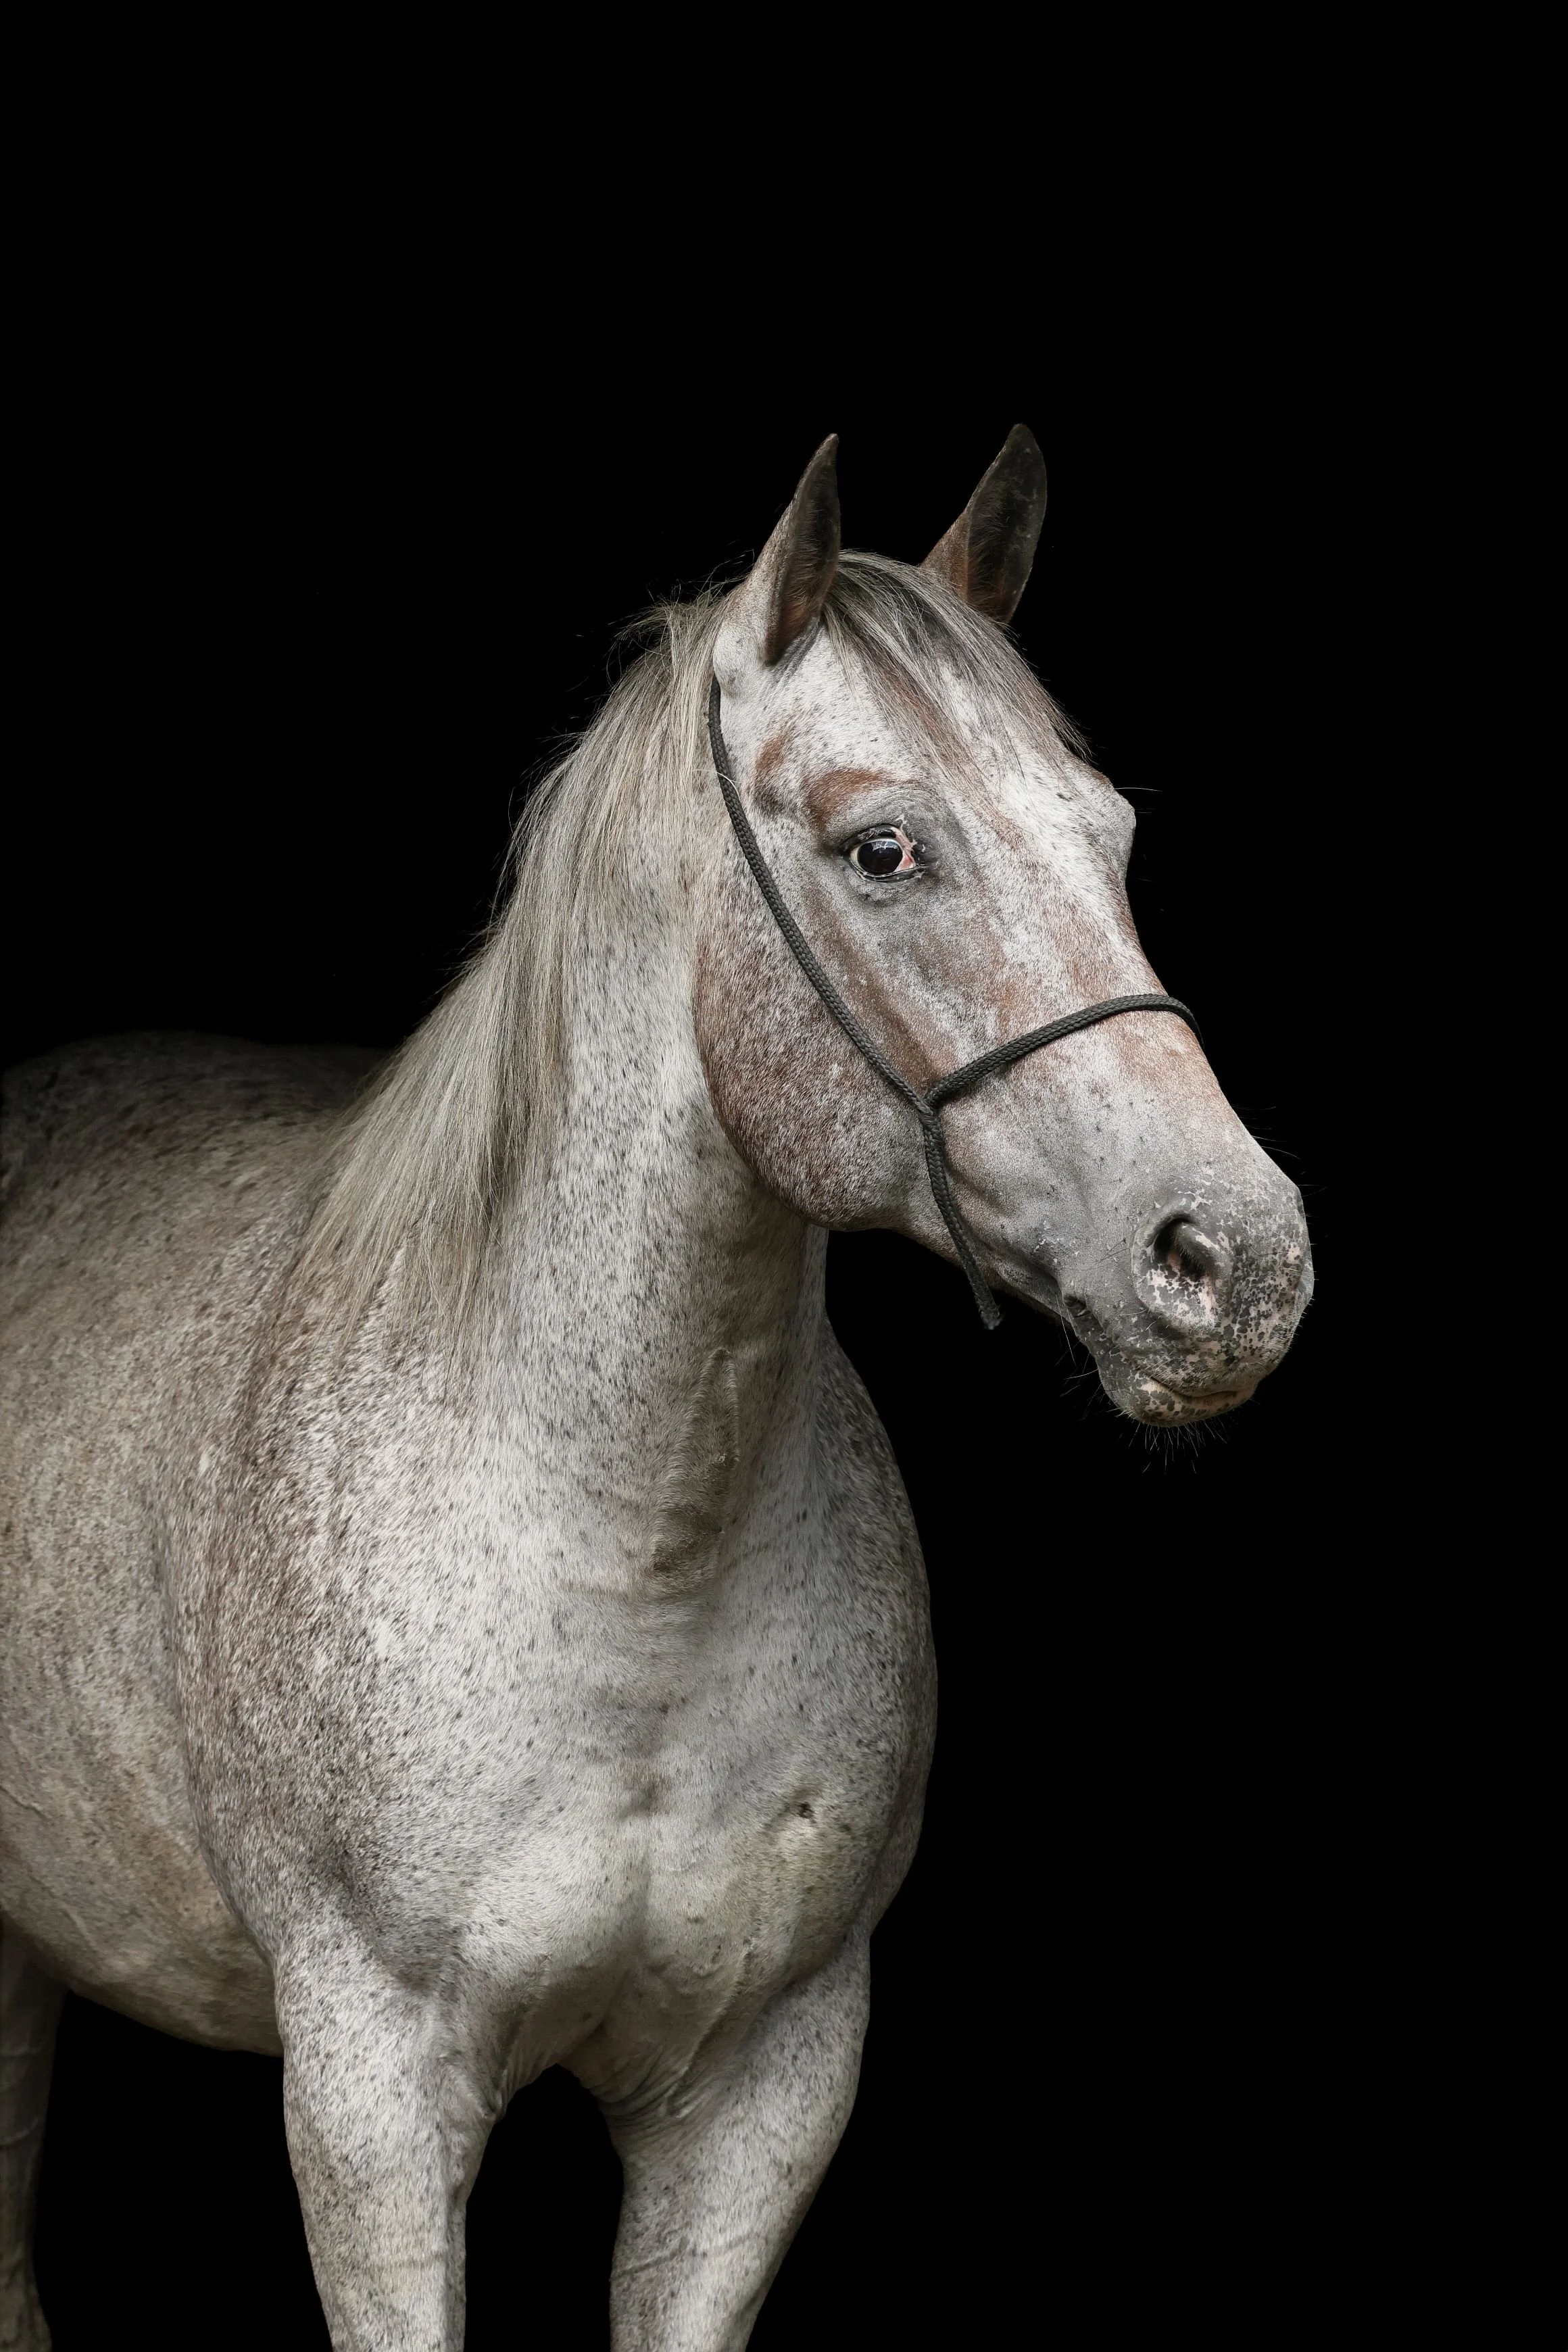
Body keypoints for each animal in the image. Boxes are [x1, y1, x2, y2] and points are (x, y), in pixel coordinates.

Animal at [0, 428, 1312, 2350]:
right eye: (882, 848)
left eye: (1114, 839)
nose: (1235, 1260)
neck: (633, 1546)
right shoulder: (370, 2097)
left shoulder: (763, 2089)